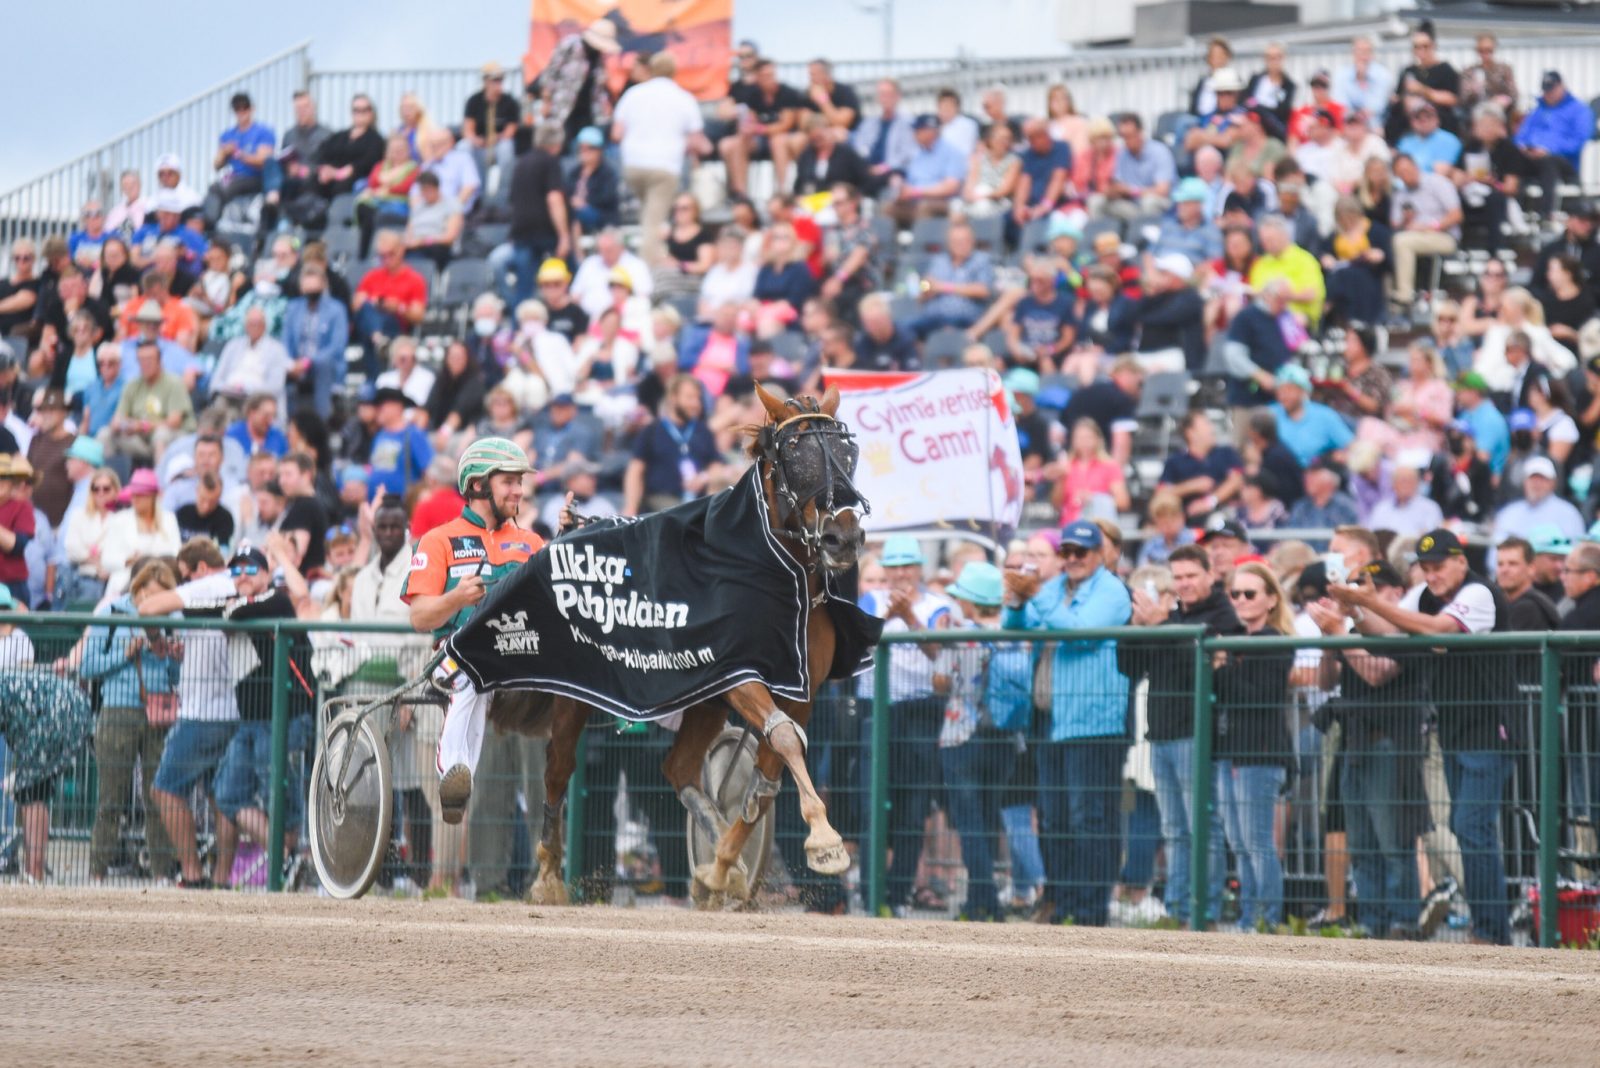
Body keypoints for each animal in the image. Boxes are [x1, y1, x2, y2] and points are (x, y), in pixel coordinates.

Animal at [489, 388, 876, 908]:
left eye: (846, 452)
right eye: (796, 456)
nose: (843, 538)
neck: (773, 575)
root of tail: (570, 528)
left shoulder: (800, 688)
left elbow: (768, 774)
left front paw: (722, 868)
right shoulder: (738, 674)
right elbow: (783, 742)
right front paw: (826, 841)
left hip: (702, 700)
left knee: (679, 769)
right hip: (575, 691)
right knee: (558, 767)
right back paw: (547, 874)